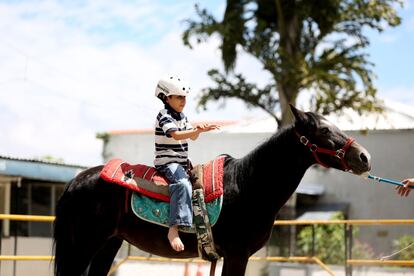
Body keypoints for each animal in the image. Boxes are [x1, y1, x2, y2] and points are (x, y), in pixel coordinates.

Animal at [52, 104, 372, 274]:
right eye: (324, 130)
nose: (364, 157)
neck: (247, 187)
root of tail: (76, 181)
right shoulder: (237, 255)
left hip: (108, 244)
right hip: (83, 246)